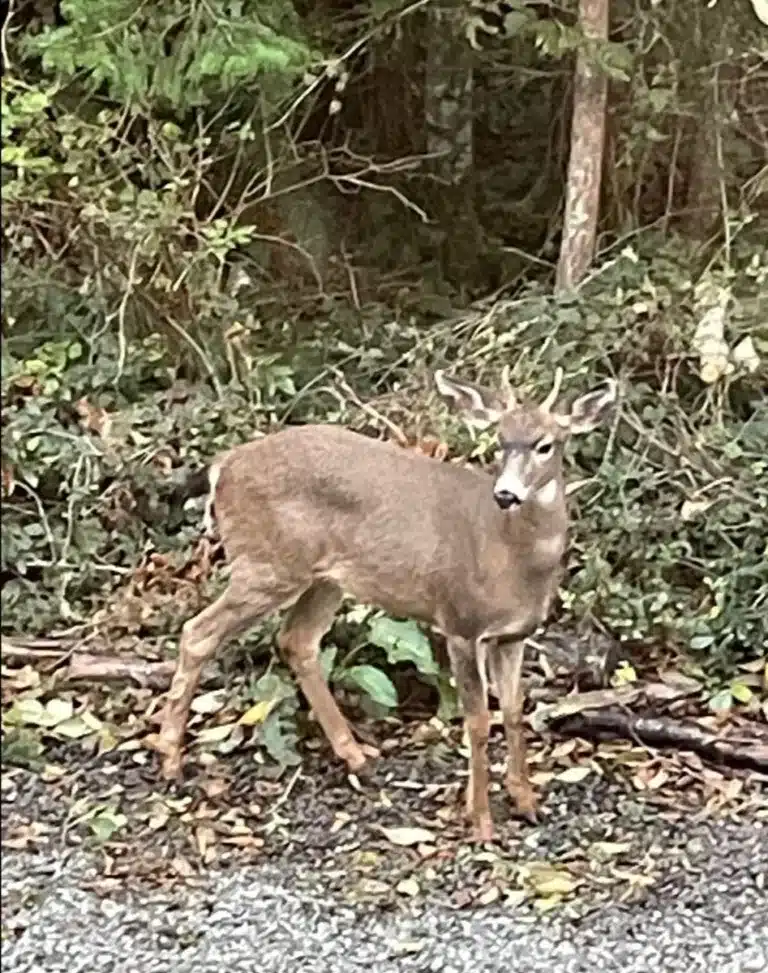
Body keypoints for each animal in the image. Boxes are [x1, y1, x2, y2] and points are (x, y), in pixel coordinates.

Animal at [158, 368, 616, 840]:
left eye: (545, 444)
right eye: (499, 439)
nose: (505, 494)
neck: (511, 558)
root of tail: (223, 465)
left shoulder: (513, 635)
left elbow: (513, 713)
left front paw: (526, 802)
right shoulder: (460, 622)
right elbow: (477, 722)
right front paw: (481, 820)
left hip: (325, 578)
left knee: (297, 639)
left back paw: (356, 755)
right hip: (267, 565)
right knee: (198, 632)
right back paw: (170, 759)